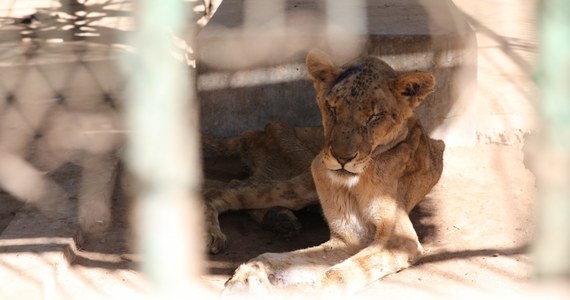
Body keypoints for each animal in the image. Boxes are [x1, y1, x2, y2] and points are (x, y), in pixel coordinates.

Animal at [204, 50, 444, 294]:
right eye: (333, 109)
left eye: (374, 116)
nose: (342, 158)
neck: (355, 184)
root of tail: (254, 133)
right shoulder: (349, 237)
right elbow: (288, 260)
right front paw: (250, 271)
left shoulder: (395, 240)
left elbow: (337, 272)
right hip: (304, 179)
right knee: (221, 190)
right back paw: (216, 234)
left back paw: (280, 220)